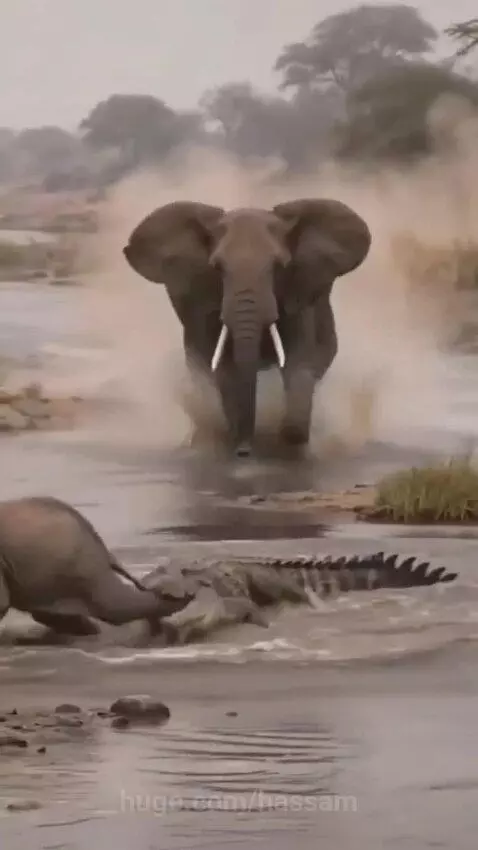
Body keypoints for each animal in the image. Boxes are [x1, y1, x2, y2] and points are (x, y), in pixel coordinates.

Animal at [123, 197, 371, 457]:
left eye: (279, 266)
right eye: (217, 268)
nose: (244, 451)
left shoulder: (299, 296)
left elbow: (299, 359)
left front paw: (291, 436)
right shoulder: (206, 305)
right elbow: (222, 367)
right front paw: (232, 437)